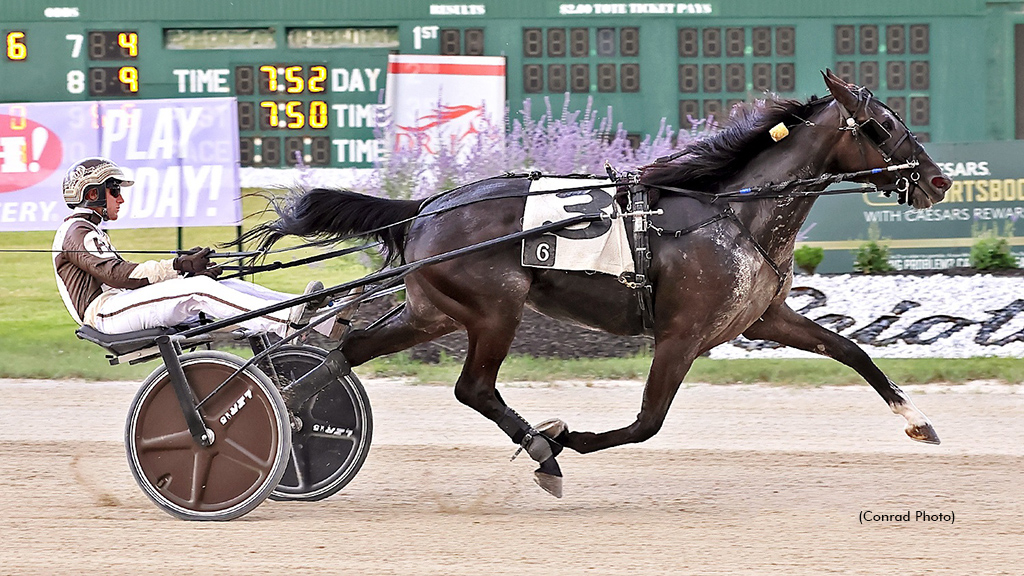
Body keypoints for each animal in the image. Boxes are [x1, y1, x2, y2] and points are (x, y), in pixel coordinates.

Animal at [253, 70, 950, 494]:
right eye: (883, 125)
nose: (940, 179)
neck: (733, 211)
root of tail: (425, 207)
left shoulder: (763, 316)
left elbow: (852, 350)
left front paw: (918, 422)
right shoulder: (681, 335)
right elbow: (647, 422)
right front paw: (572, 438)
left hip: (433, 310)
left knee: (344, 354)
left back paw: (289, 412)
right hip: (493, 311)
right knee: (472, 387)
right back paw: (543, 449)